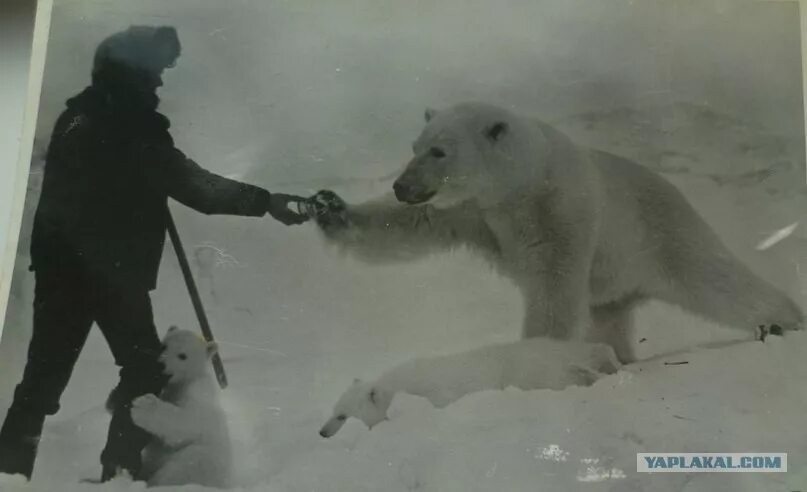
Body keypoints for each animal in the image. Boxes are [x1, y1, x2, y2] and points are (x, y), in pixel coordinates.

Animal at [129, 326, 230, 488]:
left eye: (183, 356)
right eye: (164, 346)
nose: (161, 364)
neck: (184, 381)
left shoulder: (196, 394)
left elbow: (187, 422)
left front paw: (142, 406)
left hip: (195, 461)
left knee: (175, 472)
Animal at [308, 101, 800, 362]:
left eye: (439, 150)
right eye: (416, 146)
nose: (402, 186)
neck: (517, 186)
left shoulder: (558, 210)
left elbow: (553, 284)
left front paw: (535, 359)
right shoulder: (469, 211)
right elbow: (407, 226)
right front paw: (329, 207)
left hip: (660, 234)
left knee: (716, 280)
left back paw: (783, 321)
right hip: (615, 284)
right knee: (609, 319)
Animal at [318, 338, 620, 438]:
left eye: (341, 416)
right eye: (333, 410)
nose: (321, 432)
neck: (395, 389)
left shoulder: (437, 395)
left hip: (533, 370)